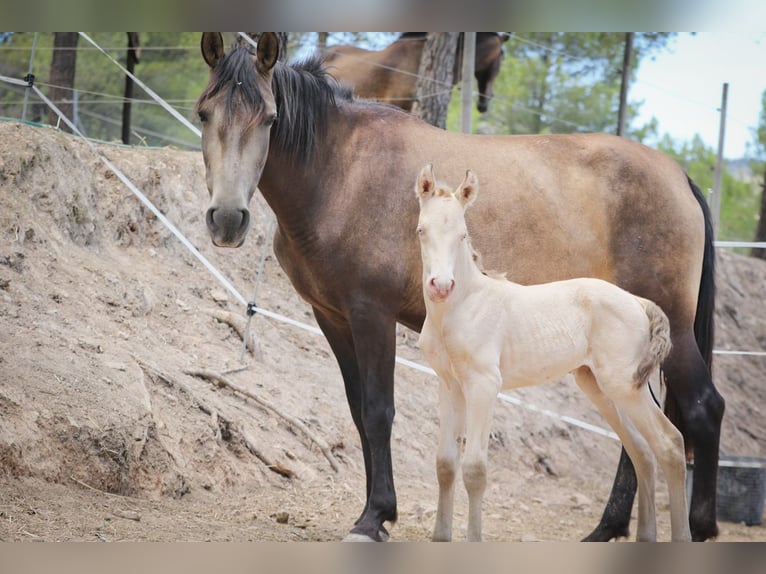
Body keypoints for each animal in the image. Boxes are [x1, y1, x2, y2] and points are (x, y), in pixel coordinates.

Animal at [416, 164, 692, 544]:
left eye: (462, 235)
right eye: (421, 230)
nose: (441, 286)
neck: (463, 307)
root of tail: (638, 302)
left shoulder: (484, 385)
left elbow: (474, 468)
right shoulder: (449, 384)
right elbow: (445, 463)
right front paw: (440, 538)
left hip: (624, 386)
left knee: (669, 444)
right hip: (601, 387)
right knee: (642, 451)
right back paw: (645, 537)